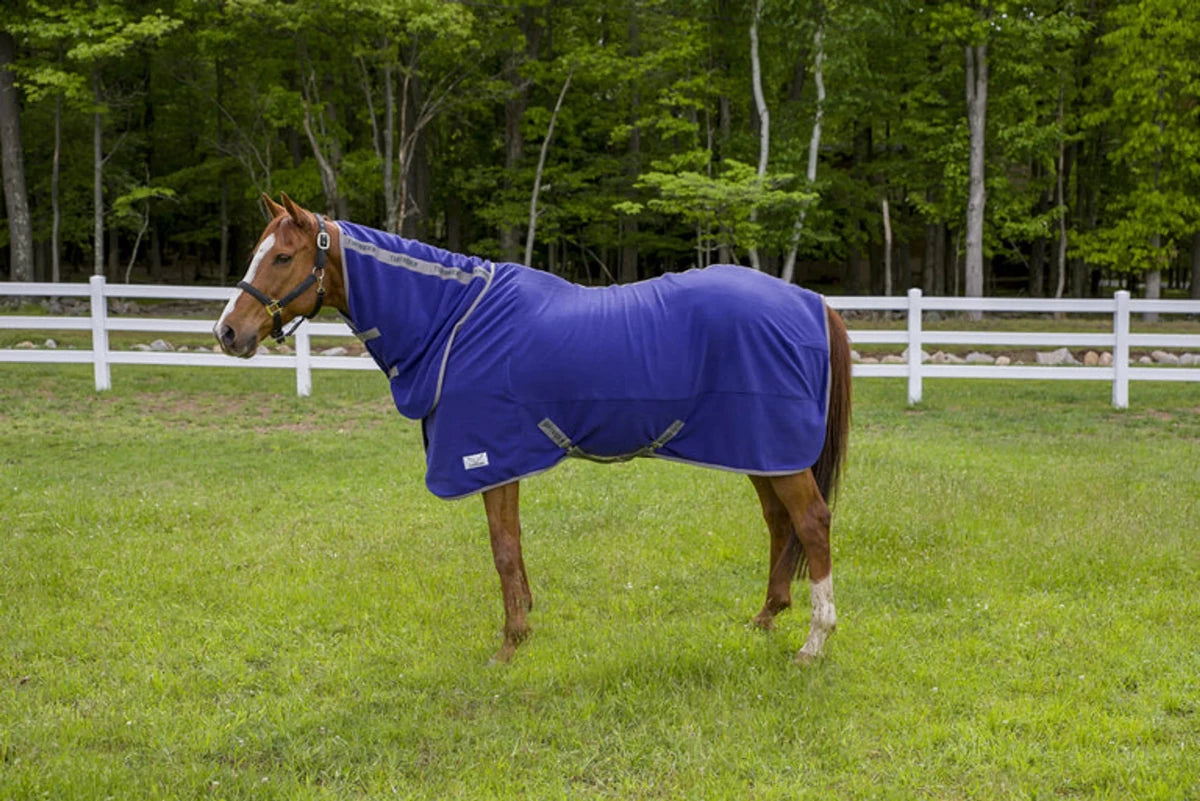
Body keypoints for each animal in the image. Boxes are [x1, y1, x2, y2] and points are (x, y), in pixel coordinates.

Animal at [215, 193, 851, 666]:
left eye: (282, 257)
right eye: (258, 253)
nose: (227, 332)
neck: (453, 321)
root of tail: (810, 300)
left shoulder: (488, 458)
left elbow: (502, 549)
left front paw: (509, 645)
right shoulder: (503, 459)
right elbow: (513, 547)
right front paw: (523, 628)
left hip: (776, 450)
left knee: (811, 523)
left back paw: (815, 642)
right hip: (760, 449)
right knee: (779, 523)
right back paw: (765, 617)